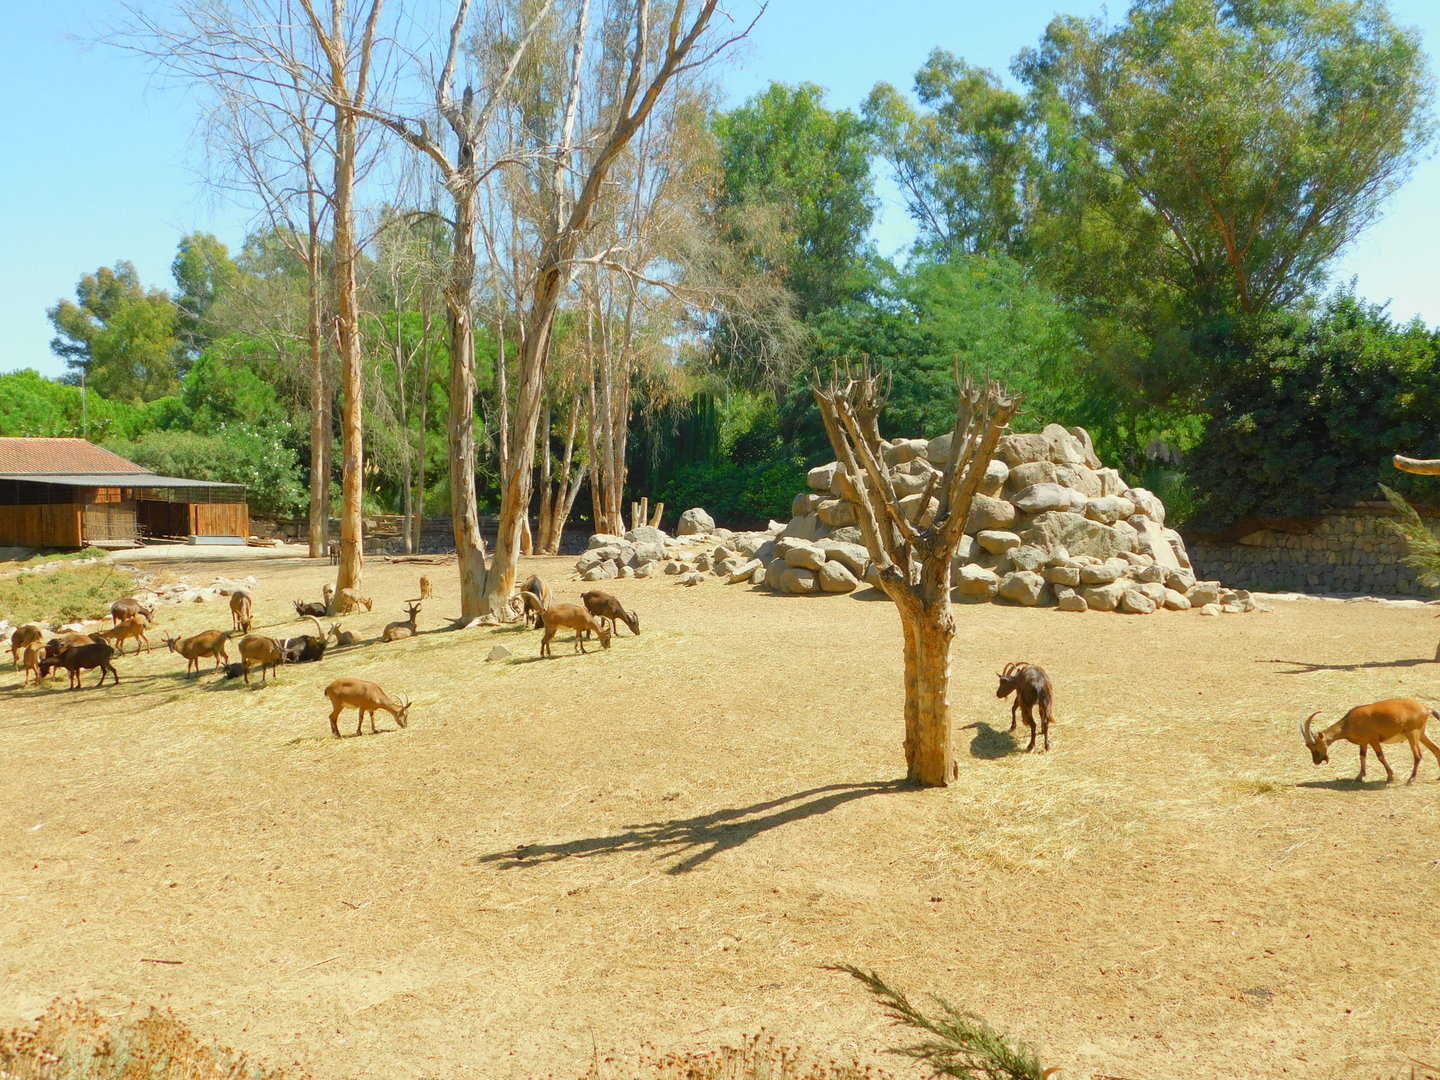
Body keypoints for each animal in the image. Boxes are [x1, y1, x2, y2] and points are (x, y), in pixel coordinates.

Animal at [1301, 699, 1440, 784]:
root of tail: (1426, 708)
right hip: (1422, 734)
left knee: (1418, 755)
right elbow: (1362, 756)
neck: (1349, 722)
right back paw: (1438, 777)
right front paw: (1359, 777)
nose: (1316, 761)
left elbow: (1380, 756)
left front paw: (1390, 777)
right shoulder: (1364, 742)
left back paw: (1411, 780)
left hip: (1413, 733)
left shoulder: (1374, 740)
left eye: (1316, 746)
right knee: (1436, 749)